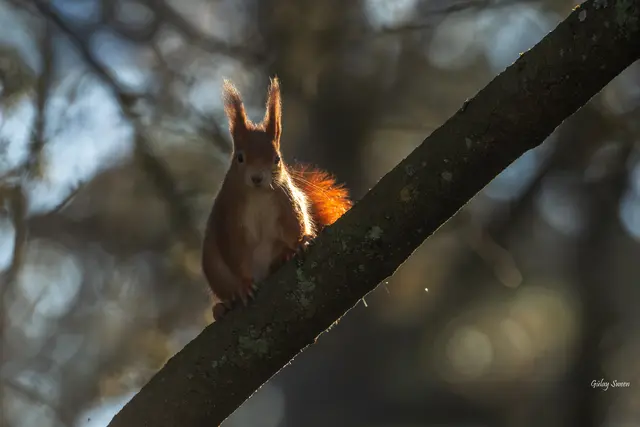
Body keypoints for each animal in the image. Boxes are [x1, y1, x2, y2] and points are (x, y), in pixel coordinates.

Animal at [202, 77, 353, 320]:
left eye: (277, 159)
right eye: (239, 158)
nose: (256, 178)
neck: (258, 195)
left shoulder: (287, 204)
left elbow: (294, 226)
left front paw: (300, 243)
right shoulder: (229, 219)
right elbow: (234, 253)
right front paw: (244, 285)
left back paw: (283, 259)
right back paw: (223, 307)